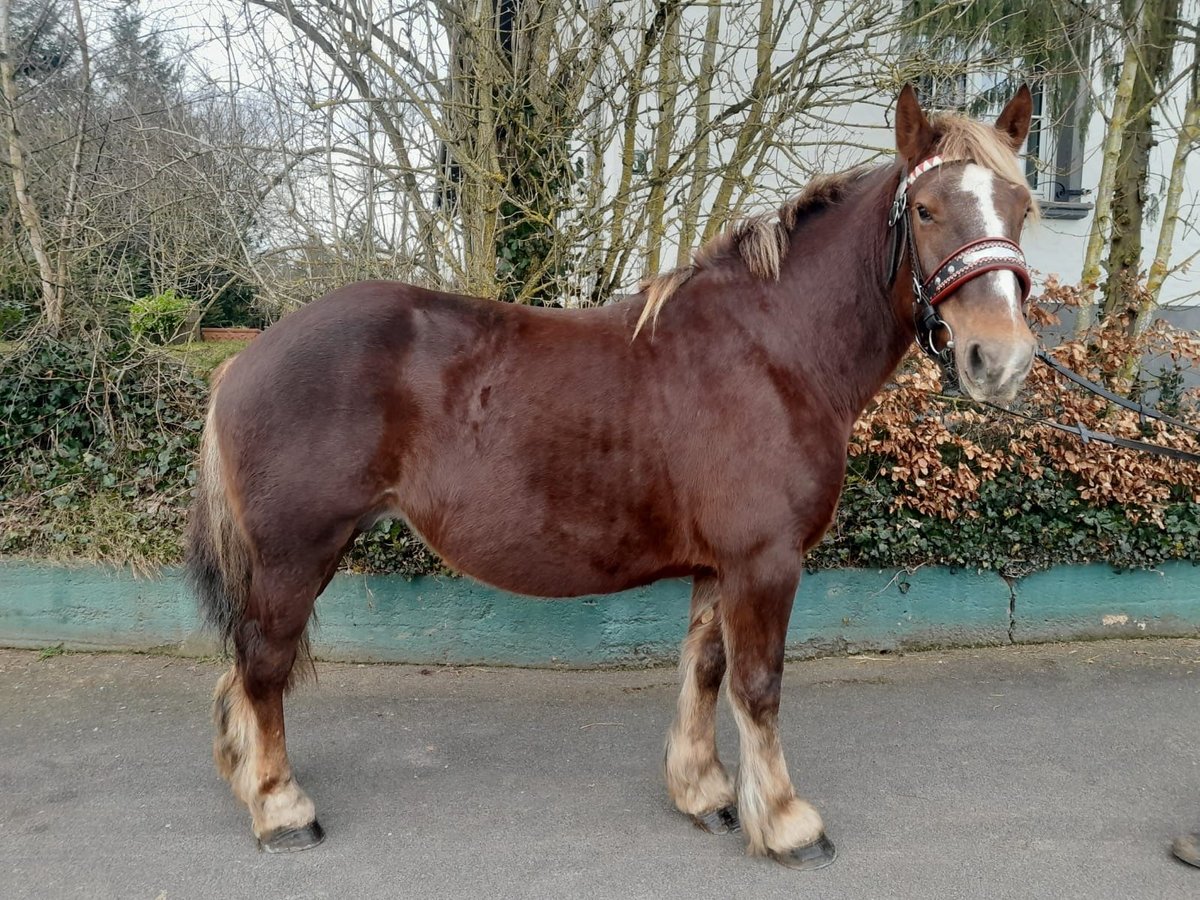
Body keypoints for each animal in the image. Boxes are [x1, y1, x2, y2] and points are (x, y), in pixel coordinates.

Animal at [189, 82, 1041, 868]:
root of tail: (245, 360)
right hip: (297, 555)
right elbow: (757, 686)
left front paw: (706, 792)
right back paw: (281, 808)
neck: (775, 351)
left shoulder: (719, 566)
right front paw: (787, 823)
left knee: (247, 670)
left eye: (1023, 208)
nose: (998, 359)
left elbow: (706, 670)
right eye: (925, 209)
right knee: (263, 667)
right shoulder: (764, 561)